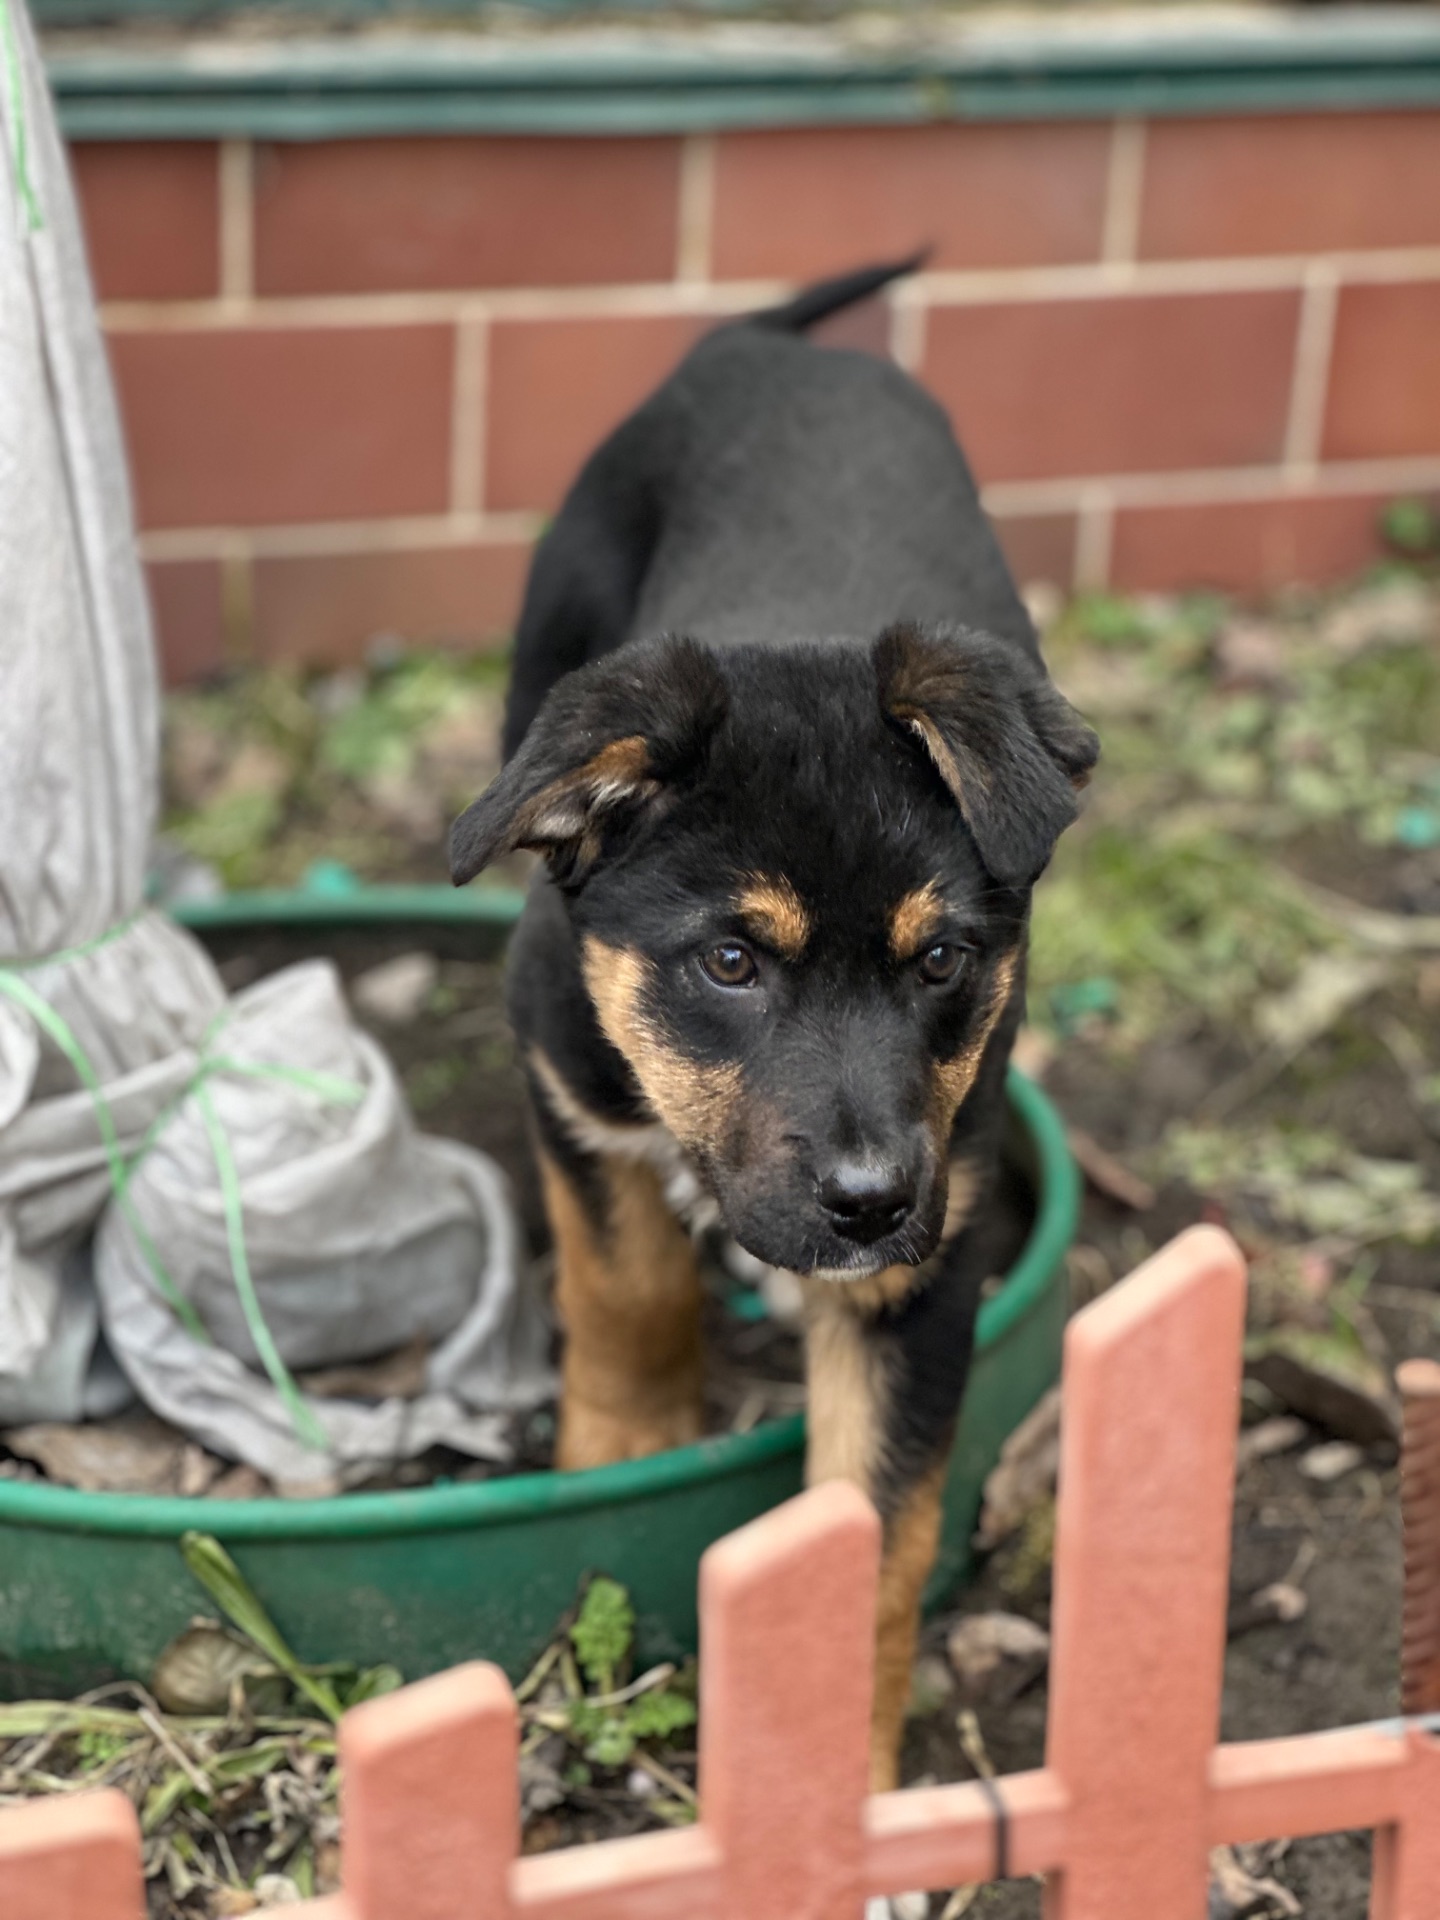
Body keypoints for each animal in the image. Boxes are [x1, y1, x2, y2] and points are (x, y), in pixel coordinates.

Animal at [451, 259, 1090, 1781]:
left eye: (942, 961)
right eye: (732, 962)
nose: (868, 1203)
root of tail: (762, 345)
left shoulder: (933, 1249)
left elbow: (871, 1533)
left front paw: (844, 1792)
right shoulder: (565, 1077)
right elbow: (625, 1292)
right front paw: (620, 1456)